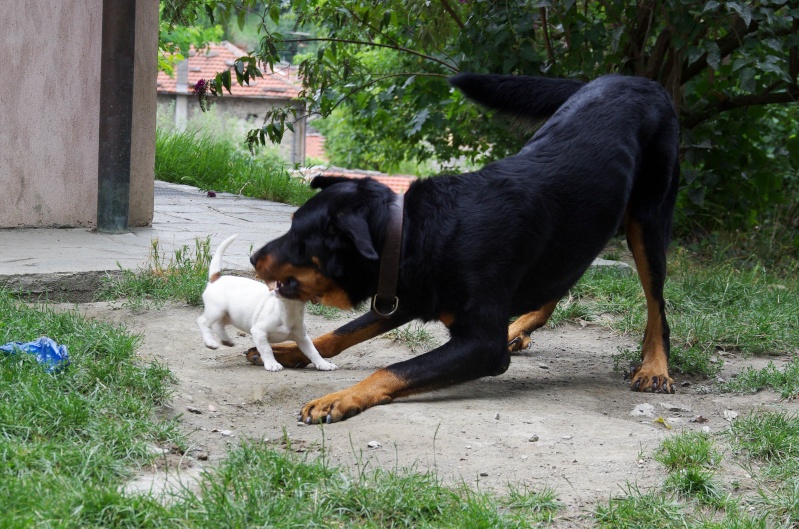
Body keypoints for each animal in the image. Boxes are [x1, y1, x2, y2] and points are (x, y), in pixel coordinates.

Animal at [200, 233, 340, 374]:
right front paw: (272, 364)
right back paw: (210, 342)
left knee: (218, 325)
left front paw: (323, 364)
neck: (287, 311)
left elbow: (313, 352)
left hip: (227, 315)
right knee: (203, 322)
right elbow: (267, 349)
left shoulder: (303, 338)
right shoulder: (259, 332)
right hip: (216, 310)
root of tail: (216, 278)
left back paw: (226, 340)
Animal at [252, 72, 680, 422]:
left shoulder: (481, 345)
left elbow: (394, 368)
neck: (416, 235)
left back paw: (654, 367)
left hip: (647, 223)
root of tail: (635, 79)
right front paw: (290, 350)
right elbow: (343, 332)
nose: (254, 256)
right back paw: (520, 326)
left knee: (657, 305)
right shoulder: (405, 295)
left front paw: (338, 398)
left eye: (298, 238)